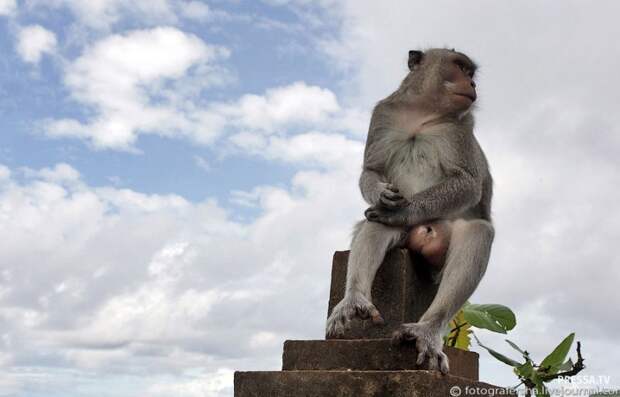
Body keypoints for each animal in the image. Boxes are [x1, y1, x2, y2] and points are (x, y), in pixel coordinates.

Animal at [324, 48, 494, 372]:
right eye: (460, 67)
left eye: (470, 72)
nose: (473, 84)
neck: (423, 114)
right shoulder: (383, 116)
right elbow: (372, 170)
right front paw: (382, 194)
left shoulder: (459, 130)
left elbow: (467, 183)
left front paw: (405, 209)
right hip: (406, 238)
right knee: (376, 224)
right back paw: (355, 300)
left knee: (479, 232)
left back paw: (428, 329)